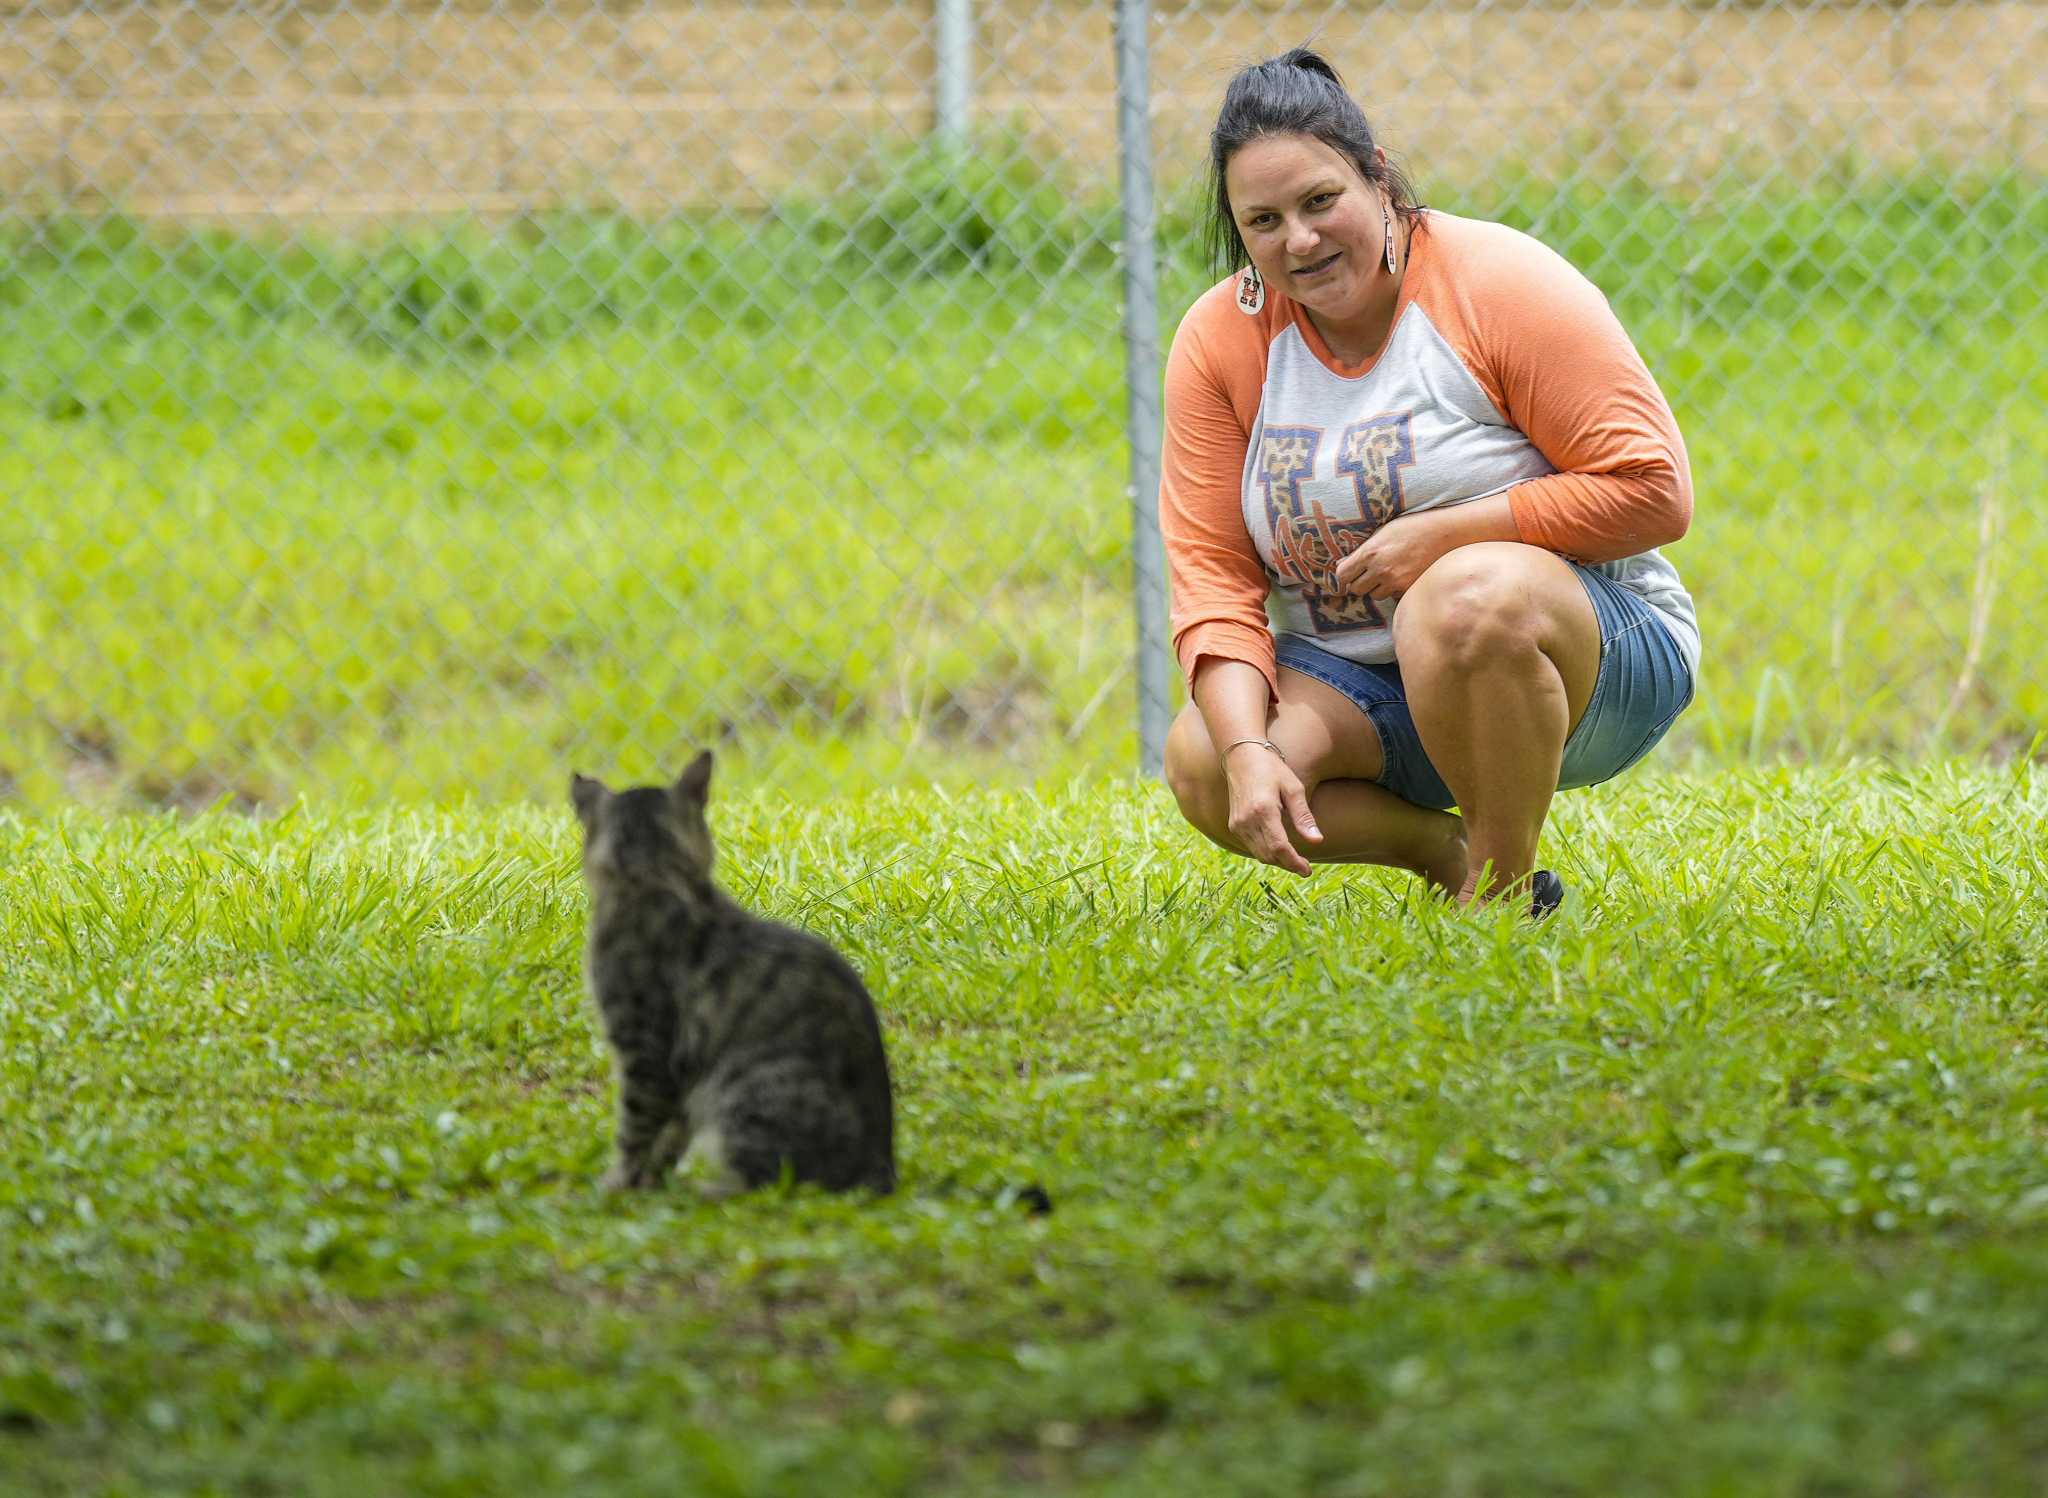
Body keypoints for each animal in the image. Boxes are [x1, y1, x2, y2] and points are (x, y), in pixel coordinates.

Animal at [573, 754, 901, 1204]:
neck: (657, 876)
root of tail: (883, 1168)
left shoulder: (644, 1051)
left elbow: (634, 1133)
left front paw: (618, 1184)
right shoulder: (682, 1079)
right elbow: (671, 1136)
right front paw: (650, 1181)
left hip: (747, 1093)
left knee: (770, 1182)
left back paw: (702, 1189)